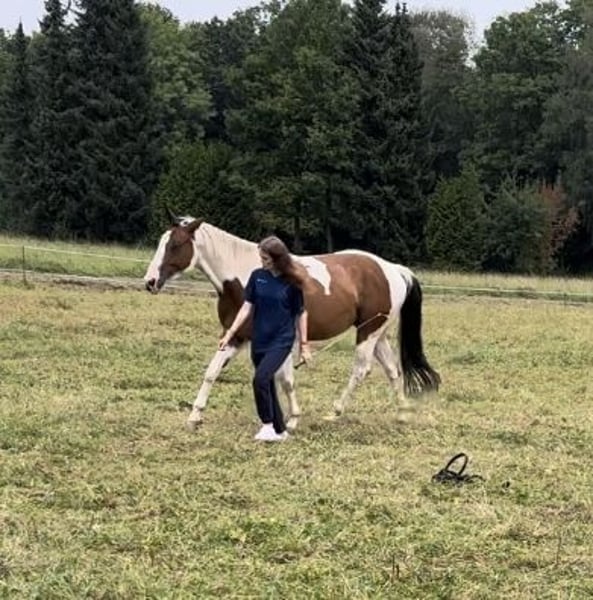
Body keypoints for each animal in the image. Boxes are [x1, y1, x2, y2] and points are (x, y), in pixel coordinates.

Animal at [144, 211, 440, 431]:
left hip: (368, 332)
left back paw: (336, 411)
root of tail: (393, 269)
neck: (246, 279)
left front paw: (293, 420)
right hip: (377, 333)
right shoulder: (235, 336)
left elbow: (285, 378)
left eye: (176, 245)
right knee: (392, 370)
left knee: (361, 369)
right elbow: (213, 372)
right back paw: (402, 413)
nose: (150, 282)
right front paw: (195, 416)